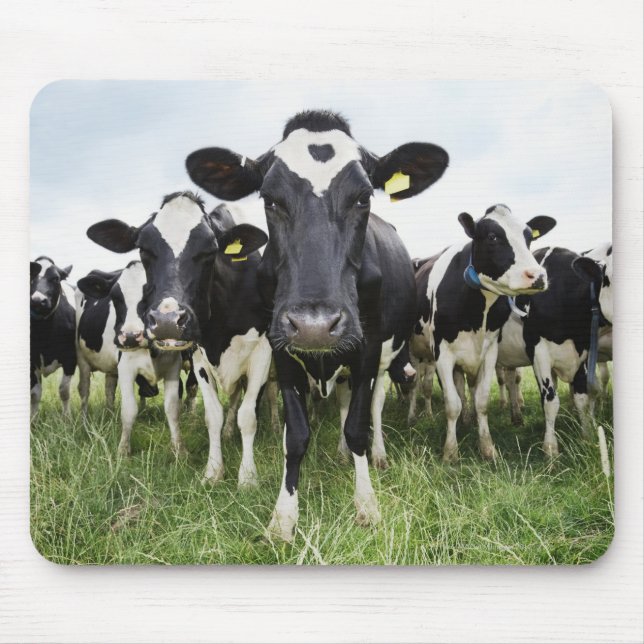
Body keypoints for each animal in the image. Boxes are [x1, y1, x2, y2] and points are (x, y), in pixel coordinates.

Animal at [30, 256, 76, 418]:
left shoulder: (70, 357)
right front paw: (33, 420)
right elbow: (35, 393)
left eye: (56, 278)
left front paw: (67, 418)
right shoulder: (32, 361)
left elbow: (64, 390)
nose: (37, 300)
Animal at [75, 260, 194, 456]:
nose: (130, 336)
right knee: (84, 390)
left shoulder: (173, 367)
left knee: (109, 389)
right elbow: (129, 409)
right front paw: (123, 450)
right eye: (115, 297)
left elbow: (172, 408)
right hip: (83, 360)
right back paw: (84, 423)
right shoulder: (126, 368)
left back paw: (110, 416)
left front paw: (180, 449)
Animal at [185, 109, 449, 541]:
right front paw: (283, 517)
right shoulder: (280, 348)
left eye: (363, 197)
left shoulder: (367, 348)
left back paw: (375, 455)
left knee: (372, 407)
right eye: (270, 199)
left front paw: (366, 504)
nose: (315, 326)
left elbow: (357, 426)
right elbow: (295, 435)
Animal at [412, 204, 556, 463]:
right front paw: (450, 452)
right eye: (492, 237)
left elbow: (481, 400)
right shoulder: (442, 353)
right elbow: (452, 404)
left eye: (529, 237)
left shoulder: (489, 352)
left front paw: (487, 448)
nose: (538, 276)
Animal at [497, 245, 610, 457]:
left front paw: (587, 438)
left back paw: (516, 417)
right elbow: (550, 402)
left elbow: (582, 398)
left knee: (511, 379)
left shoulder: (582, 353)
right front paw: (550, 449)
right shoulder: (538, 352)